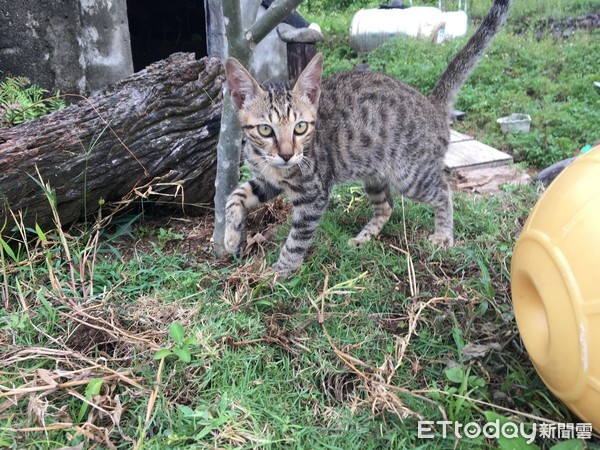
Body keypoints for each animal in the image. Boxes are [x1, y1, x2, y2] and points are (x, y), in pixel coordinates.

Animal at [225, 0, 510, 276]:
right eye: (265, 130)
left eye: (300, 127)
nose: (286, 155)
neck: (267, 161)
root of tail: (432, 105)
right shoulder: (268, 181)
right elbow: (235, 194)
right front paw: (230, 234)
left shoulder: (313, 196)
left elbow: (296, 240)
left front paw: (278, 273)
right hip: (374, 175)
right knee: (387, 206)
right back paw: (364, 237)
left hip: (411, 176)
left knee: (443, 191)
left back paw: (443, 234)